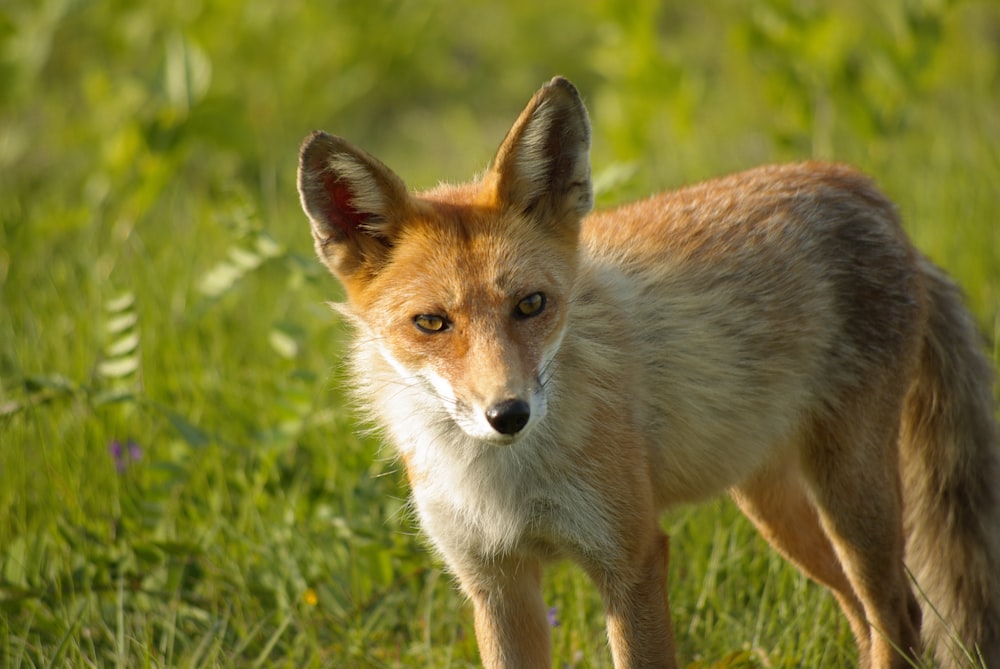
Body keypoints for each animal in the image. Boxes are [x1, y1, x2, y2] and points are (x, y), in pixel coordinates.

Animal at [298, 78, 1000, 668]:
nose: (508, 414)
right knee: (864, 613)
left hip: (850, 495)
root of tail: (865, 190)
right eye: (431, 323)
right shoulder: (496, 583)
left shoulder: (631, 560)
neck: (507, 483)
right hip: (774, 503)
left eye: (531, 305)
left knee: (900, 615)